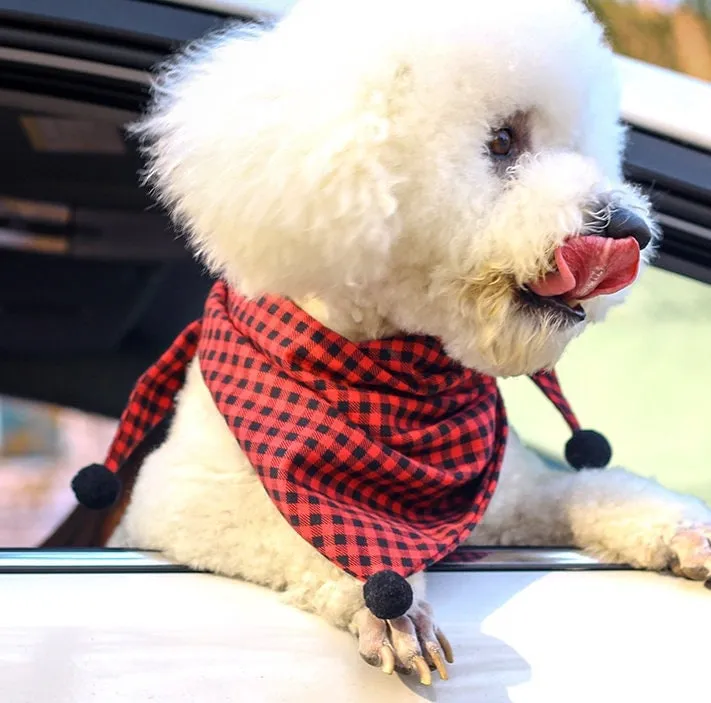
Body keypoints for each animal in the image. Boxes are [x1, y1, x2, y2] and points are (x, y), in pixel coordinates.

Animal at [79, 0, 711, 684]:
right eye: (502, 141)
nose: (634, 230)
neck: (382, 368)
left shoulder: (508, 503)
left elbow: (593, 487)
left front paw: (685, 528)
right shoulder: (180, 509)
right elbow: (304, 533)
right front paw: (394, 611)